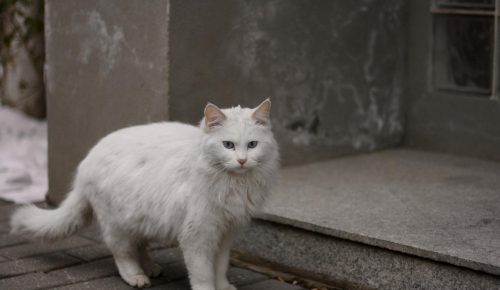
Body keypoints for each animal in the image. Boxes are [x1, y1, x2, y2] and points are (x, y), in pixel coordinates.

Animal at [9, 99, 280, 290]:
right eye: (228, 145)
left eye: (252, 145)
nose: (242, 161)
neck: (235, 183)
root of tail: (86, 163)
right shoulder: (198, 235)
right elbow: (203, 273)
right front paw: (208, 289)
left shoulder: (225, 234)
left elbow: (220, 268)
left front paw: (223, 287)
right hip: (117, 226)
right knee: (123, 254)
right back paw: (137, 276)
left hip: (143, 219)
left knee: (139, 246)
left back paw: (151, 268)